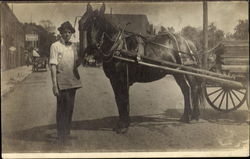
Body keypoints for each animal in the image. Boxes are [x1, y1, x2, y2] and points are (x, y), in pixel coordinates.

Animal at [79, 3, 203, 134]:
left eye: (101, 25)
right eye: (87, 25)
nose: (91, 53)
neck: (119, 49)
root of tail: (188, 41)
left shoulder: (122, 79)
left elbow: (124, 99)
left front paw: (124, 125)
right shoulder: (114, 80)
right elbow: (118, 99)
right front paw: (121, 123)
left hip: (188, 70)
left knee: (194, 88)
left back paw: (193, 116)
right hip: (177, 72)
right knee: (185, 89)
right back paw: (185, 116)